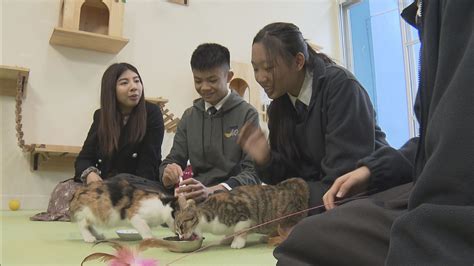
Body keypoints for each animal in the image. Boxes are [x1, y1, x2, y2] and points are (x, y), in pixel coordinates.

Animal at [172, 178, 310, 248]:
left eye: (181, 226)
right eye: (177, 231)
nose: (181, 237)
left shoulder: (243, 216)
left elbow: (239, 231)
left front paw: (237, 242)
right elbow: (231, 232)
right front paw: (228, 239)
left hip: (286, 220)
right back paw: (267, 237)